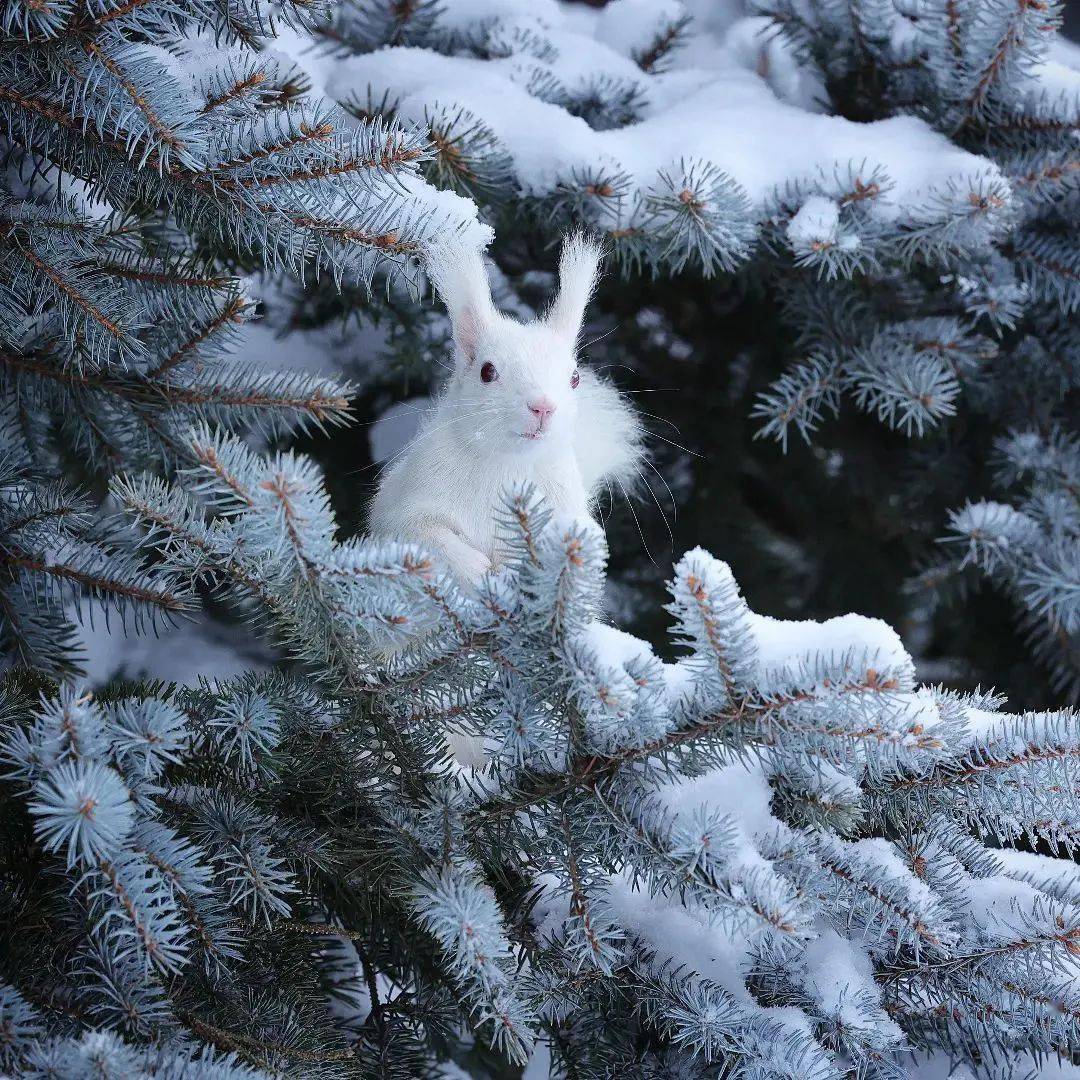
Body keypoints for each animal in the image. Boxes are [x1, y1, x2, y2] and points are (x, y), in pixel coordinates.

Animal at [369, 235, 639, 583]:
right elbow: (426, 535)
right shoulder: (403, 508)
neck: (508, 464)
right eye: (487, 372)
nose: (543, 407)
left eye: (575, 378)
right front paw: (476, 570)